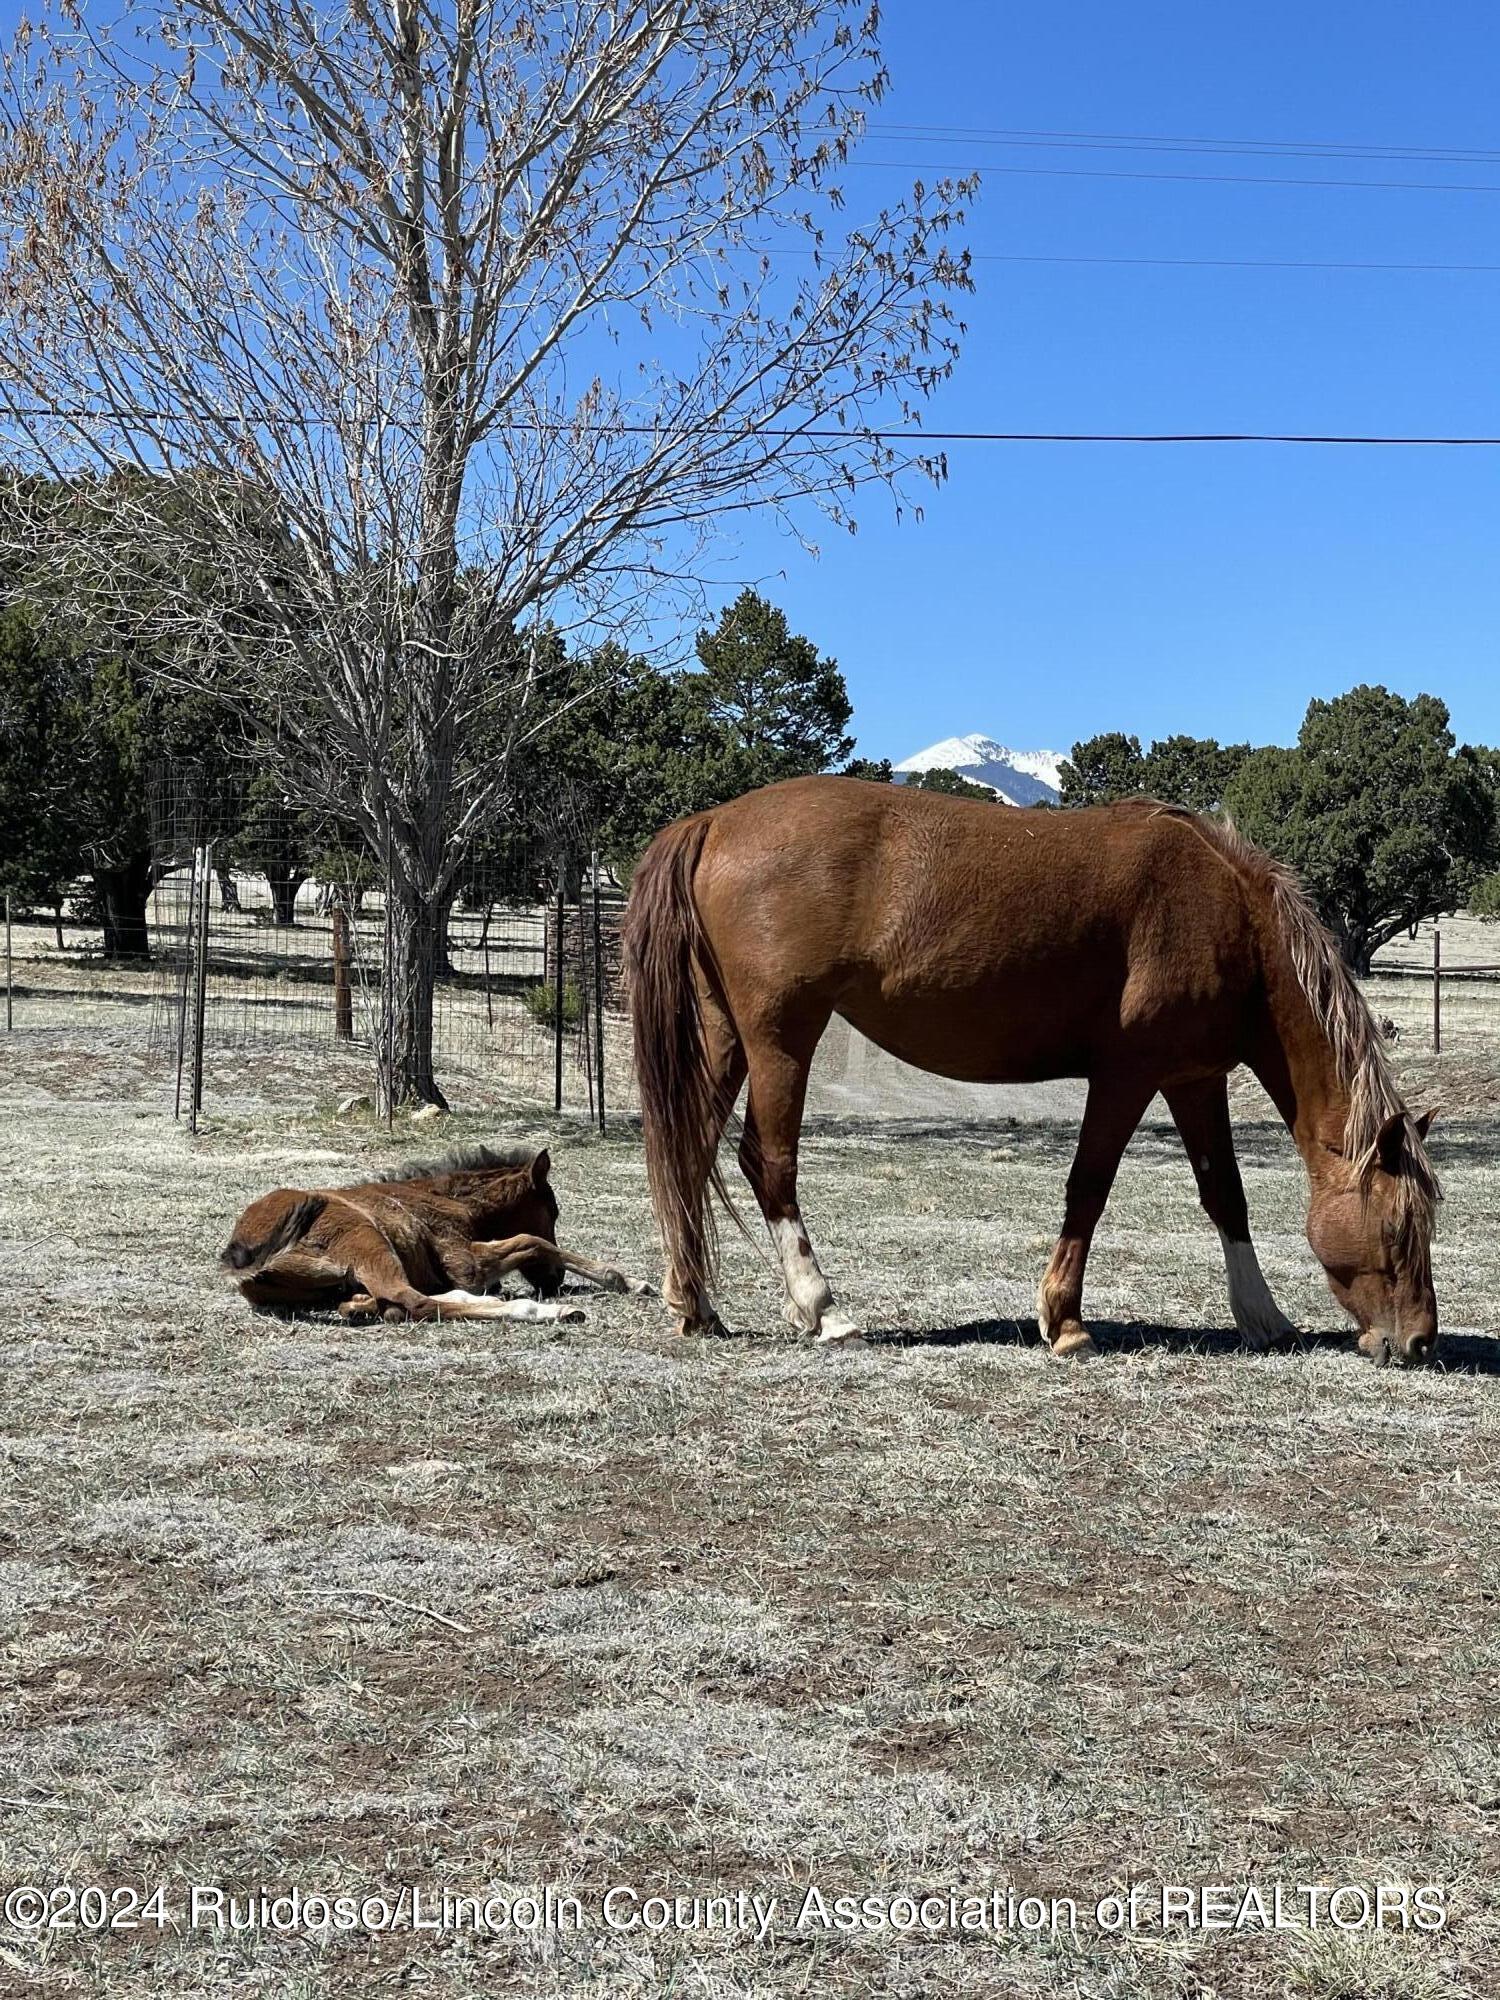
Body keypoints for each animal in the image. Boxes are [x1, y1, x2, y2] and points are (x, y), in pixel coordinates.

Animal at [220, 1144, 648, 1328]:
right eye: (553, 1211)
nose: (554, 1282)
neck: (449, 1199)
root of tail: (242, 1253)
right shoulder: (466, 1263)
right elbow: (533, 1241)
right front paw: (626, 1279)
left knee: (395, 1301)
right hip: (368, 1240)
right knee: (418, 1302)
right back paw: (545, 1312)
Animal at [624, 776, 1448, 1360]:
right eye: (1400, 1226)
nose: (1416, 1342)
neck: (1226, 914)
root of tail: (713, 822)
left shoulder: (1193, 1077)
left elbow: (1226, 1196)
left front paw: (1263, 1316)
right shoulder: (1127, 1075)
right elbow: (1089, 1187)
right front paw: (1066, 1321)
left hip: (726, 1037)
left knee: (687, 1152)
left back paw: (695, 1305)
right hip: (781, 1039)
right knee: (767, 1162)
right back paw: (823, 1309)